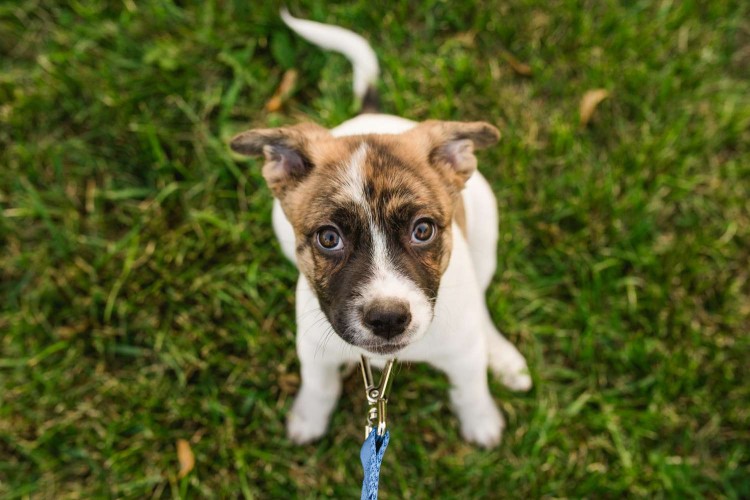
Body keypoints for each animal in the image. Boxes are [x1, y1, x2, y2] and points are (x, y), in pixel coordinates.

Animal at [232, 10, 532, 450]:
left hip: (485, 229)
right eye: (329, 238)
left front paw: (481, 421)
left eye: (423, 230)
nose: (388, 320)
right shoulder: (312, 344)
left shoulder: (462, 353)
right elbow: (318, 383)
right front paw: (308, 418)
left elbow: (471, 386)